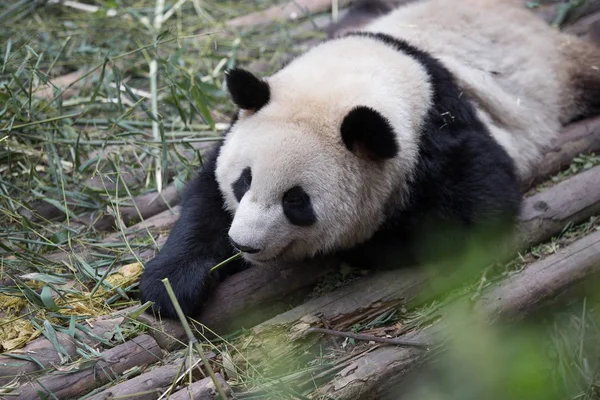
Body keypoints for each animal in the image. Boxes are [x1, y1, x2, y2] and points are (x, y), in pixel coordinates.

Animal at [138, 0, 600, 318]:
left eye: (296, 201)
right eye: (244, 181)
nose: (244, 244)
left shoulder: (441, 133)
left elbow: (478, 206)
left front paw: (362, 244)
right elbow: (203, 201)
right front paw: (171, 286)